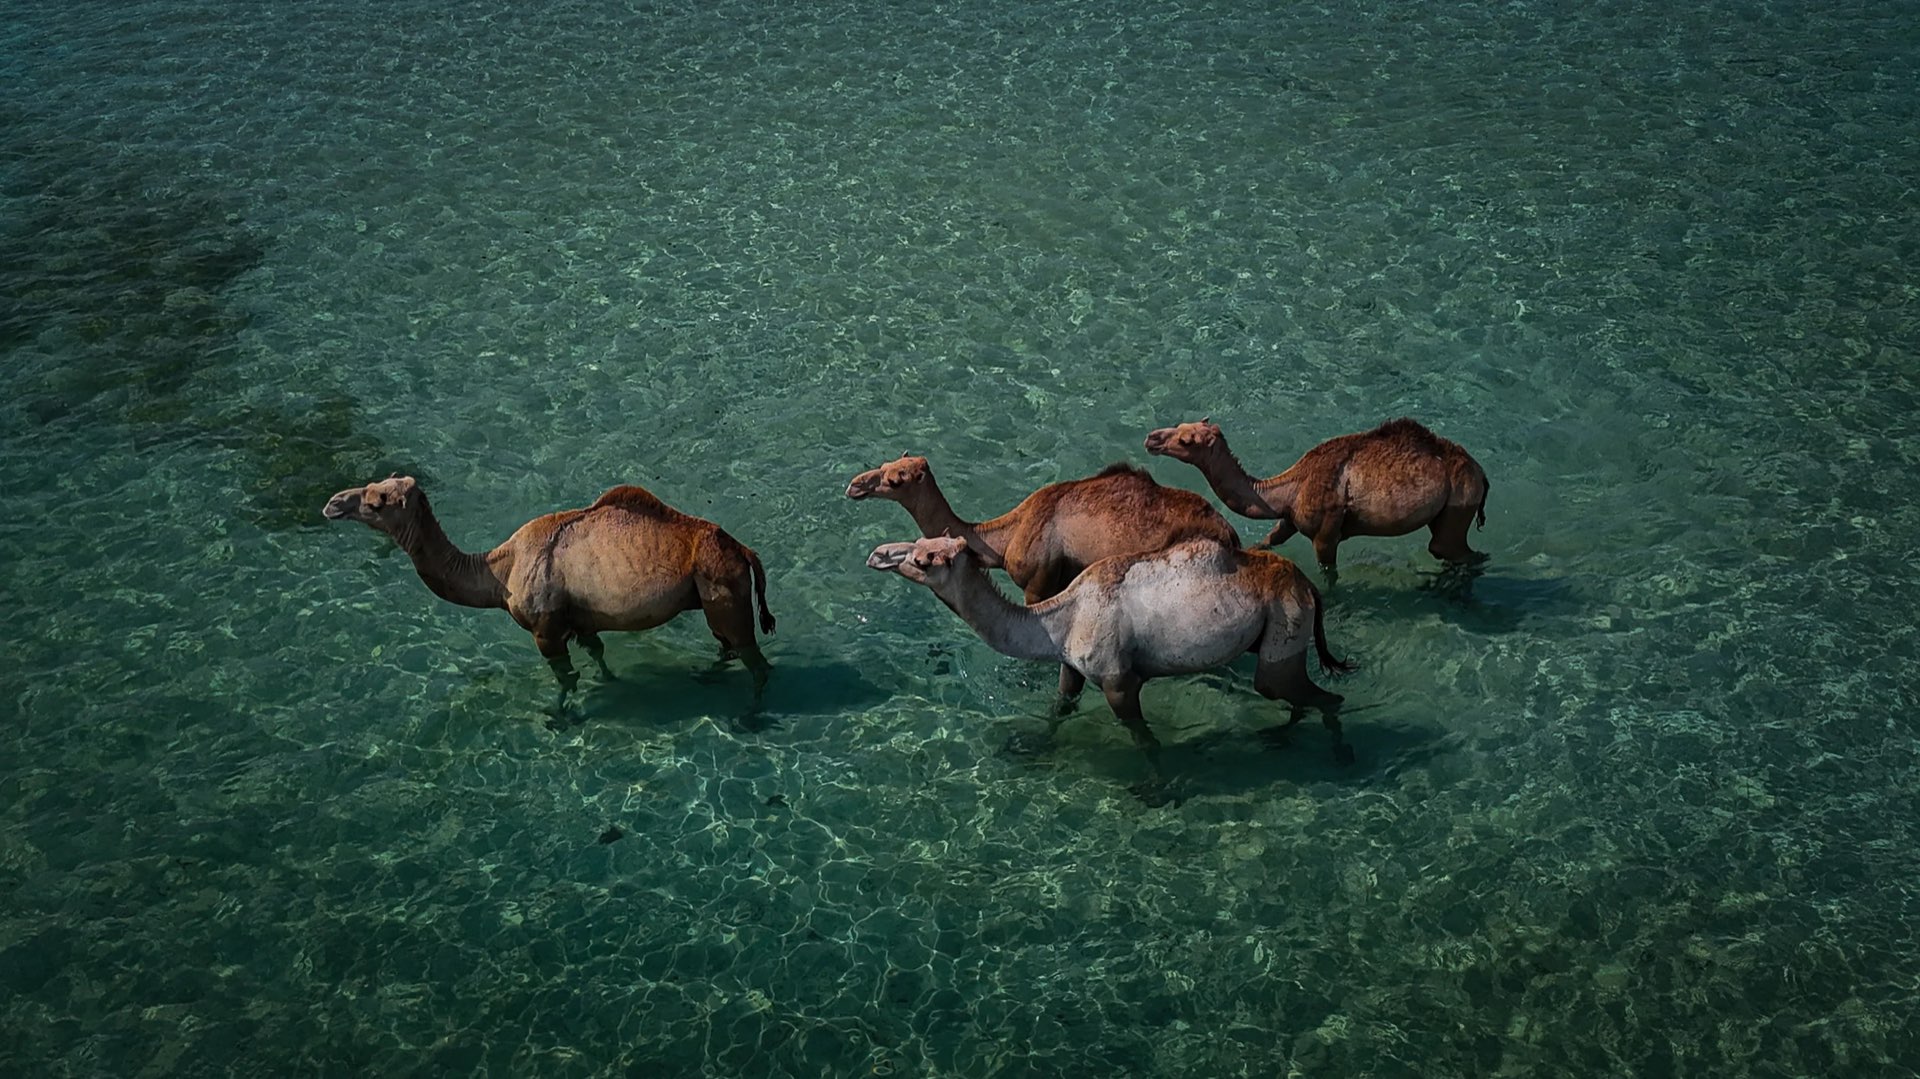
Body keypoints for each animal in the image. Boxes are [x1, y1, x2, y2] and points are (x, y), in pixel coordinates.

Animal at [322, 476, 774, 718]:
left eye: (377, 501)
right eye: (374, 486)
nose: (332, 504)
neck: (499, 573)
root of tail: (745, 551)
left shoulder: (545, 629)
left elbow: (565, 677)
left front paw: (559, 715)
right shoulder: (580, 621)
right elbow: (596, 653)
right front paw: (610, 681)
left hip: (724, 590)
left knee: (753, 655)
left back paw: (751, 713)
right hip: (711, 595)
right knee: (728, 646)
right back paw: (707, 678)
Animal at [846, 455, 1242, 712]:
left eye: (895, 480)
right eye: (885, 465)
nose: (855, 486)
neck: (1003, 538)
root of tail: (1229, 533)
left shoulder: (1037, 584)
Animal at [866, 535, 1352, 796]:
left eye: (923, 558)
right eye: (918, 546)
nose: (879, 555)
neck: (1061, 619)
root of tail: (1309, 586)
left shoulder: (1119, 680)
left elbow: (1144, 738)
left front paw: (1158, 788)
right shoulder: (1071, 665)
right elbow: (1061, 706)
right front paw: (1029, 745)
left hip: (1284, 624)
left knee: (1321, 694)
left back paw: (1339, 757)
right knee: (1295, 692)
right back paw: (1277, 739)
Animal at [1144, 417, 1489, 582]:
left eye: (1186, 440)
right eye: (1180, 425)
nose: (1151, 438)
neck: (1289, 489)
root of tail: (1483, 477)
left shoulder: (1325, 534)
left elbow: (1328, 573)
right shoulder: (1289, 519)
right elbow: (1268, 541)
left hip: (1459, 502)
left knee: (1452, 549)